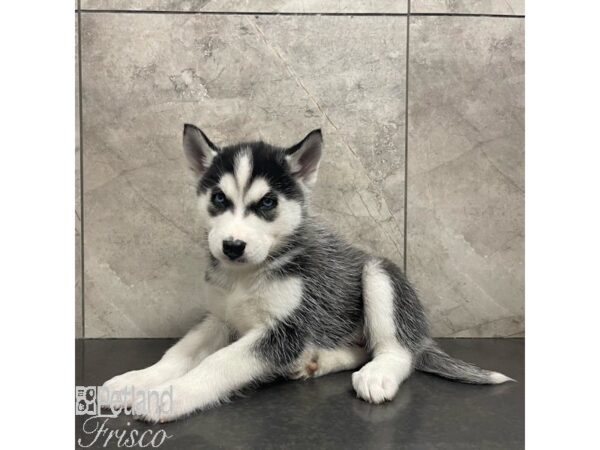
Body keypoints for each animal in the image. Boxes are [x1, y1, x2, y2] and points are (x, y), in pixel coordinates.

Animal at [102, 125, 510, 422]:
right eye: (218, 198)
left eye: (268, 202)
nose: (232, 246)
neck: (246, 276)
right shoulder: (220, 318)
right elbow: (178, 354)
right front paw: (135, 381)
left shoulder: (287, 330)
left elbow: (218, 362)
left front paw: (168, 397)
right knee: (361, 349)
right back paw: (317, 361)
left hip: (378, 274)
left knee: (397, 350)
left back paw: (378, 373)